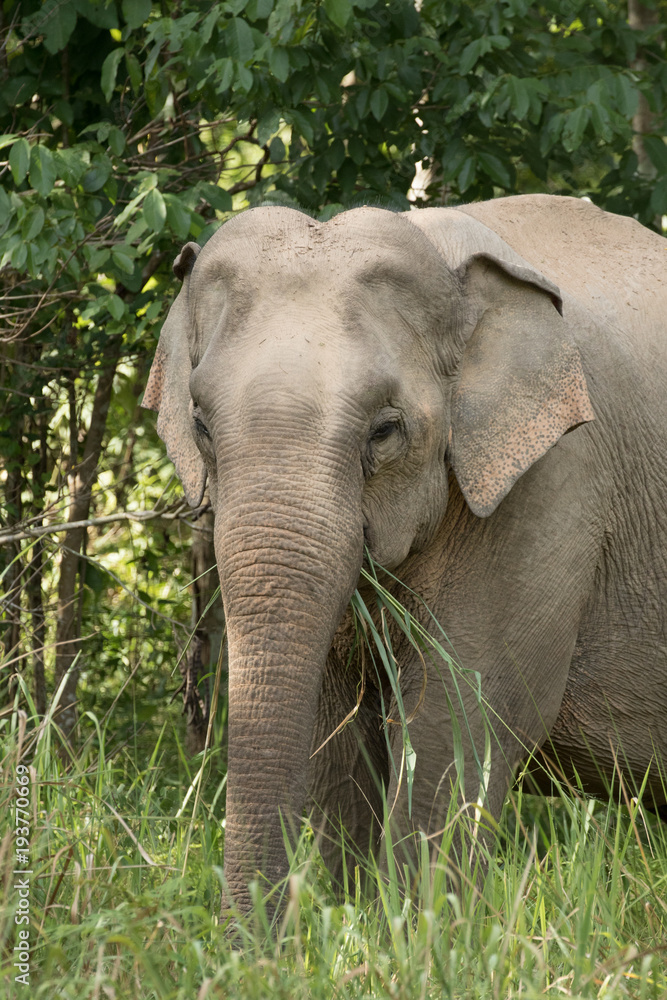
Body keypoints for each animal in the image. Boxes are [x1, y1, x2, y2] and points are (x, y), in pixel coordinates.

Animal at [145, 195, 667, 916]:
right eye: (198, 423)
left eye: (385, 430)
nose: (257, 942)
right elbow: (336, 737)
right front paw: (346, 918)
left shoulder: (550, 491)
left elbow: (457, 725)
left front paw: (420, 929)